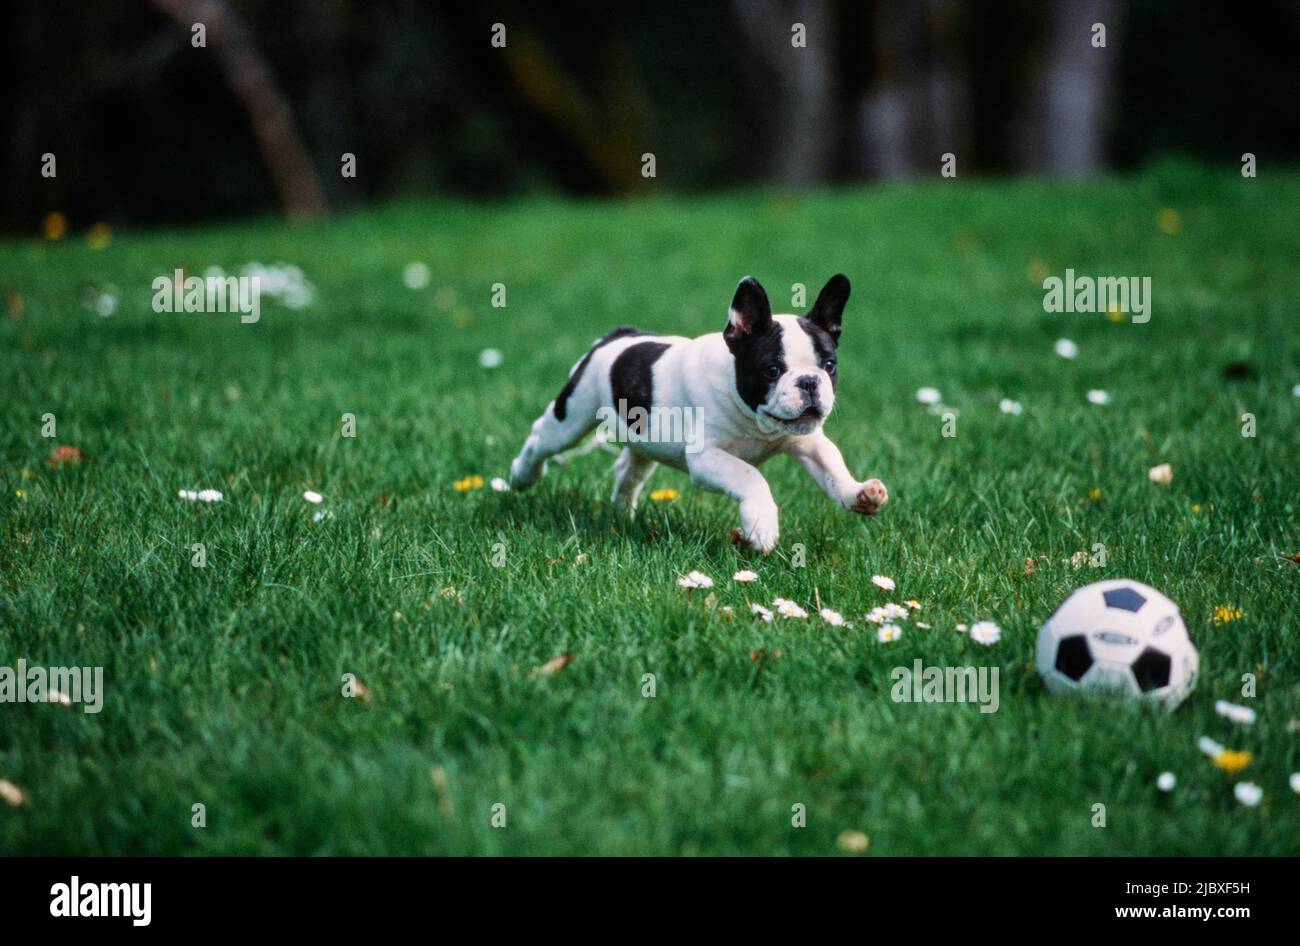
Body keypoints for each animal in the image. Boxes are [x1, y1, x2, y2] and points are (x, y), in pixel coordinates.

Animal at [512, 272, 889, 553]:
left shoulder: (808, 442)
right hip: (573, 415)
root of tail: (616, 337)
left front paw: (858, 493)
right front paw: (762, 524)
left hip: (645, 438)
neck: (756, 421)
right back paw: (521, 476)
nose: (810, 382)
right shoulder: (707, 457)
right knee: (541, 437)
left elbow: (832, 465)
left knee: (628, 469)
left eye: (829, 365)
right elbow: (751, 476)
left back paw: (621, 514)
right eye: (771, 370)